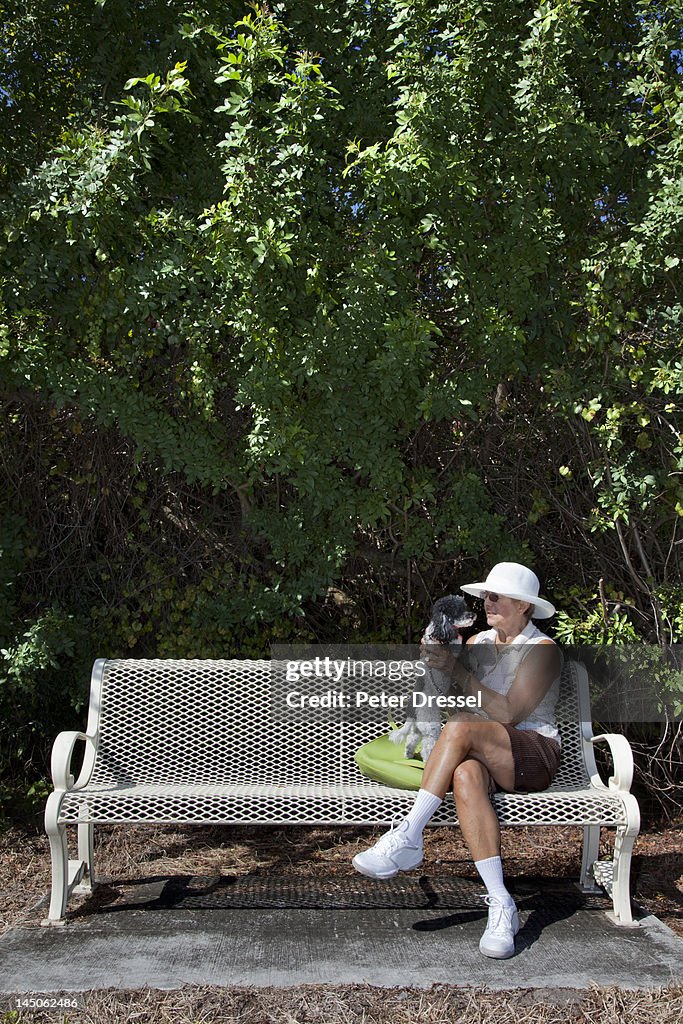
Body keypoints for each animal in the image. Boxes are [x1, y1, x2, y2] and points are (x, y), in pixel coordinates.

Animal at [389, 593, 475, 761]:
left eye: (465, 607)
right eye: (457, 611)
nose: (473, 615)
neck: (439, 630)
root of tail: (412, 713)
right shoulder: (452, 651)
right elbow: (460, 651)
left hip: (418, 728)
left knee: (412, 739)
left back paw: (408, 754)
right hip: (431, 727)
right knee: (427, 746)